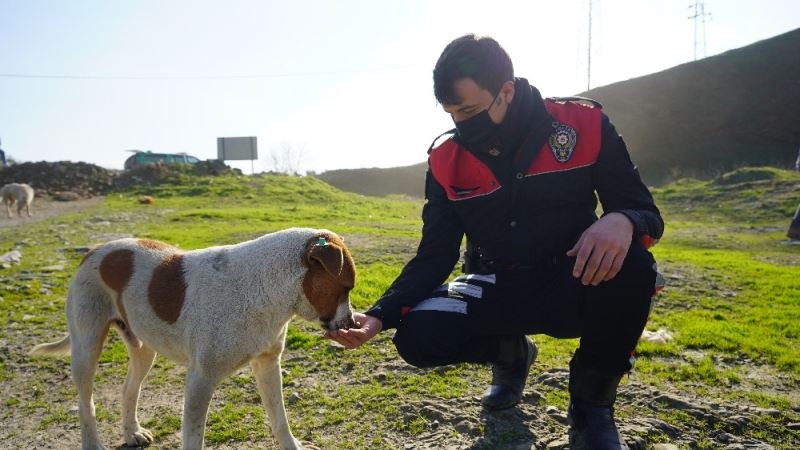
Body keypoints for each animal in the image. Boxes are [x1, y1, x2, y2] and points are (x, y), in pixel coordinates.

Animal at [31, 229, 354, 450]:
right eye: (347, 287)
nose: (351, 323)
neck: (262, 287)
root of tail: (95, 250)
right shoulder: (200, 381)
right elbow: (194, 437)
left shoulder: (267, 364)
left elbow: (279, 418)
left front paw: (292, 445)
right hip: (87, 348)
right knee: (86, 404)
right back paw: (93, 442)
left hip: (144, 350)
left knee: (128, 390)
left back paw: (132, 432)